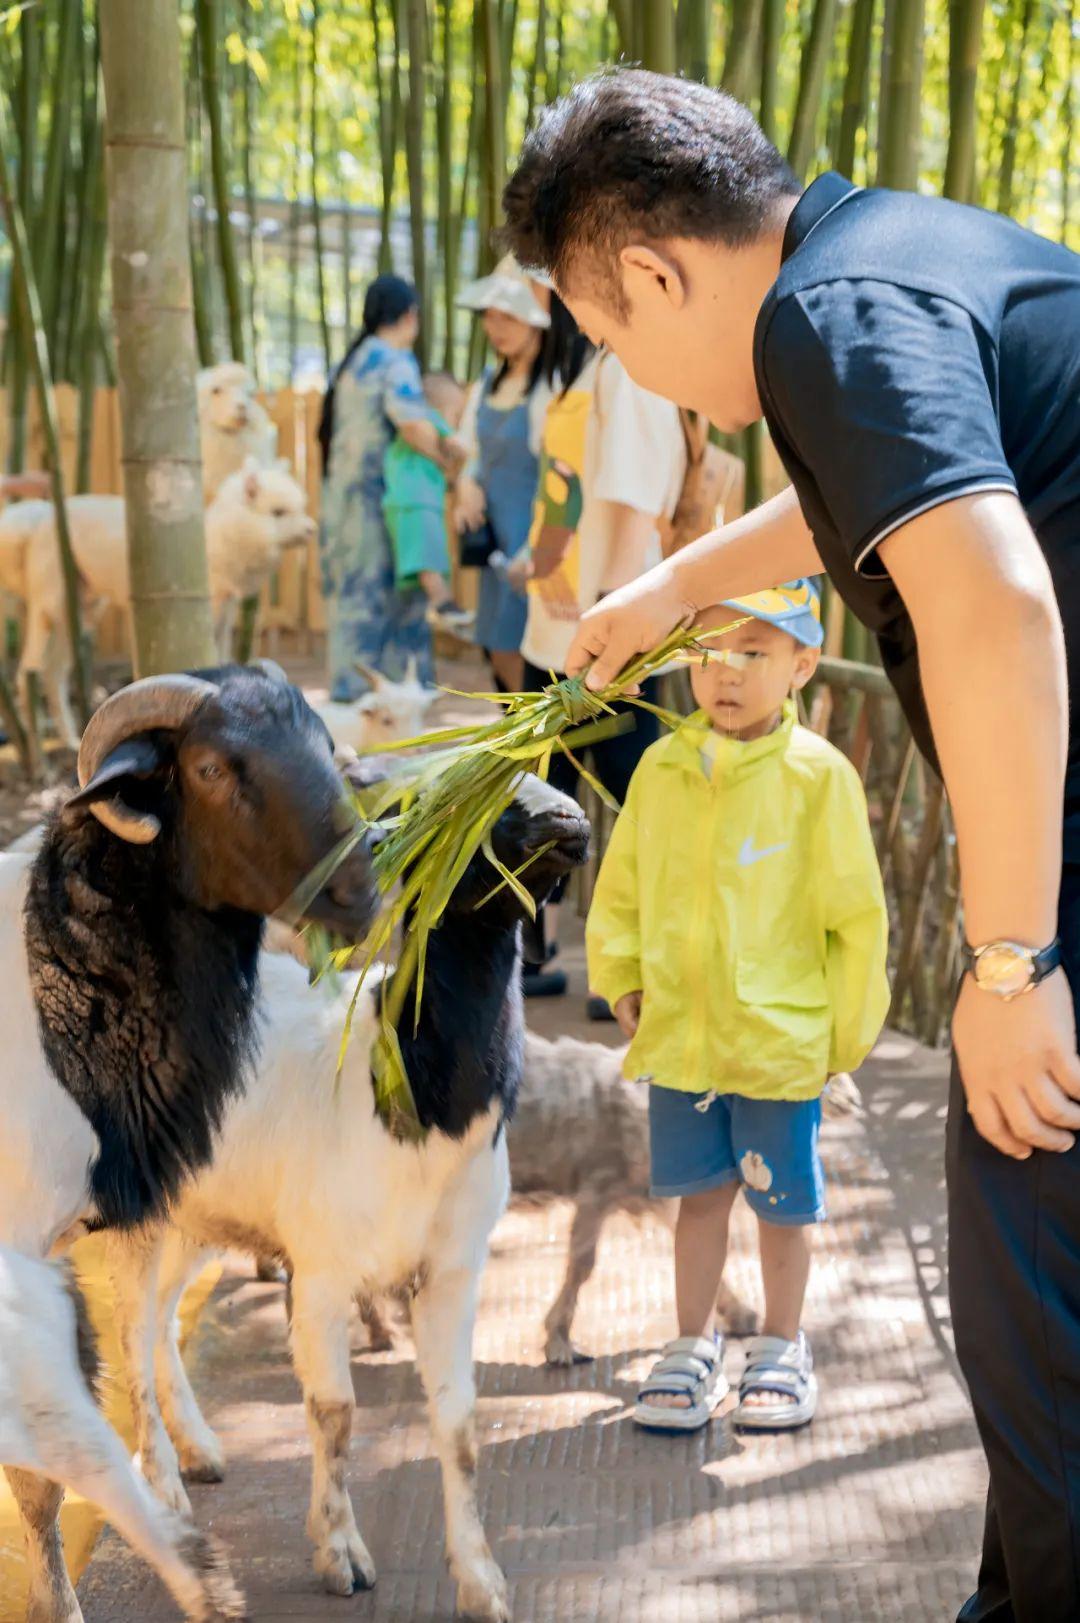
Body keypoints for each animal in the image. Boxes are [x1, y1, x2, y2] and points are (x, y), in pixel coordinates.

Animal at [1, 662, 378, 1623]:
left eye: (324, 742)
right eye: (210, 768)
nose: (361, 890)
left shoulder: (127, 1205)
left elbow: (132, 1345)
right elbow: (42, 1465)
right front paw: (62, 1602)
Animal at [107, 772, 591, 1623]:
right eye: (475, 801)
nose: (571, 820)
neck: (410, 1095)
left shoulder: (453, 1270)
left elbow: (460, 1423)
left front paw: (483, 1581)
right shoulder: (324, 1270)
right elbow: (335, 1413)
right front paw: (341, 1553)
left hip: (202, 1213)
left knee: (161, 1316)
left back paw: (199, 1451)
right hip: (137, 1208)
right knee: (131, 1332)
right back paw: (163, 1488)